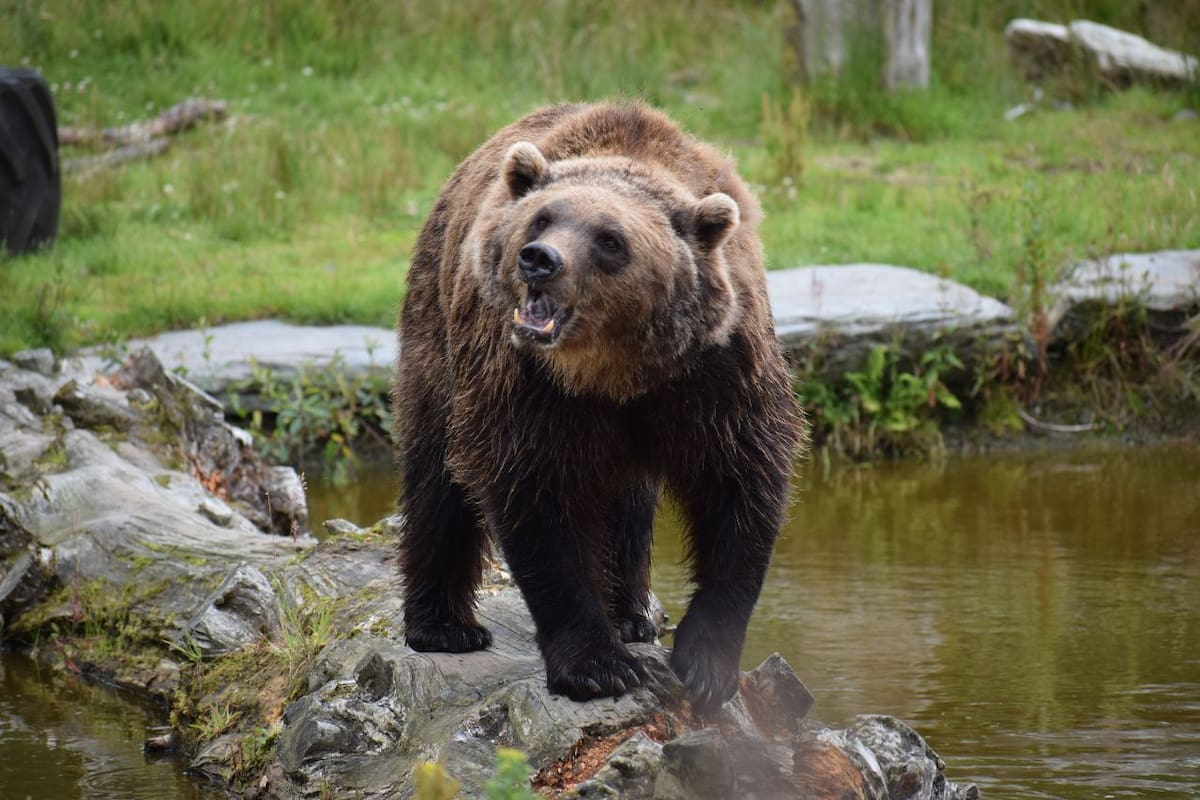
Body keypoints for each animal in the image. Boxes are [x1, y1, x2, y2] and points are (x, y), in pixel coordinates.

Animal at [393, 102, 805, 713]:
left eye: (611, 239)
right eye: (542, 219)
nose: (539, 260)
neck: (614, 371)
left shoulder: (719, 376)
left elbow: (740, 486)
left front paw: (706, 665)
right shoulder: (525, 385)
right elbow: (539, 503)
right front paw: (597, 667)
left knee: (629, 505)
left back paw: (633, 615)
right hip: (438, 336)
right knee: (437, 476)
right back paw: (444, 626)